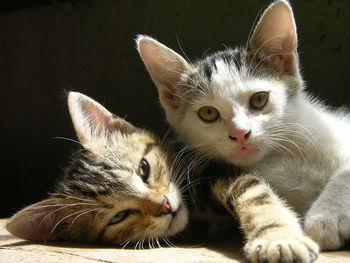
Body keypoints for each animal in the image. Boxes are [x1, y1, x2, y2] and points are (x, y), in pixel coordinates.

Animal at [137, 0, 348, 252]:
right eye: (208, 113)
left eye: (259, 99)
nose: (239, 133)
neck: (278, 157)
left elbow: (345, 172)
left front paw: (326, 218)